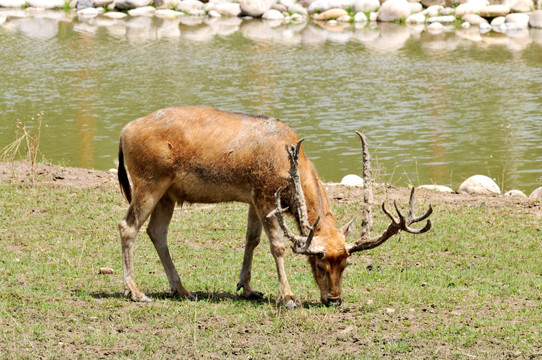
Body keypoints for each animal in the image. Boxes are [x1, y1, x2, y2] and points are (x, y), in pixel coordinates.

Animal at [118, 105, 434, 308]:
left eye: (346, 263)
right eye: (320, 263)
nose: (334, 300)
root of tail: (124, 131)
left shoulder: (254, 198)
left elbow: (252, 239)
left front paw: (247, 288)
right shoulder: (264, 193)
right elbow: (277, 245)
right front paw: (288, 297)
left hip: (168, 194)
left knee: (157, 232)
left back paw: (182, 290)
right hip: (149, 181)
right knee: (128, 226)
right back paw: (136, 292)